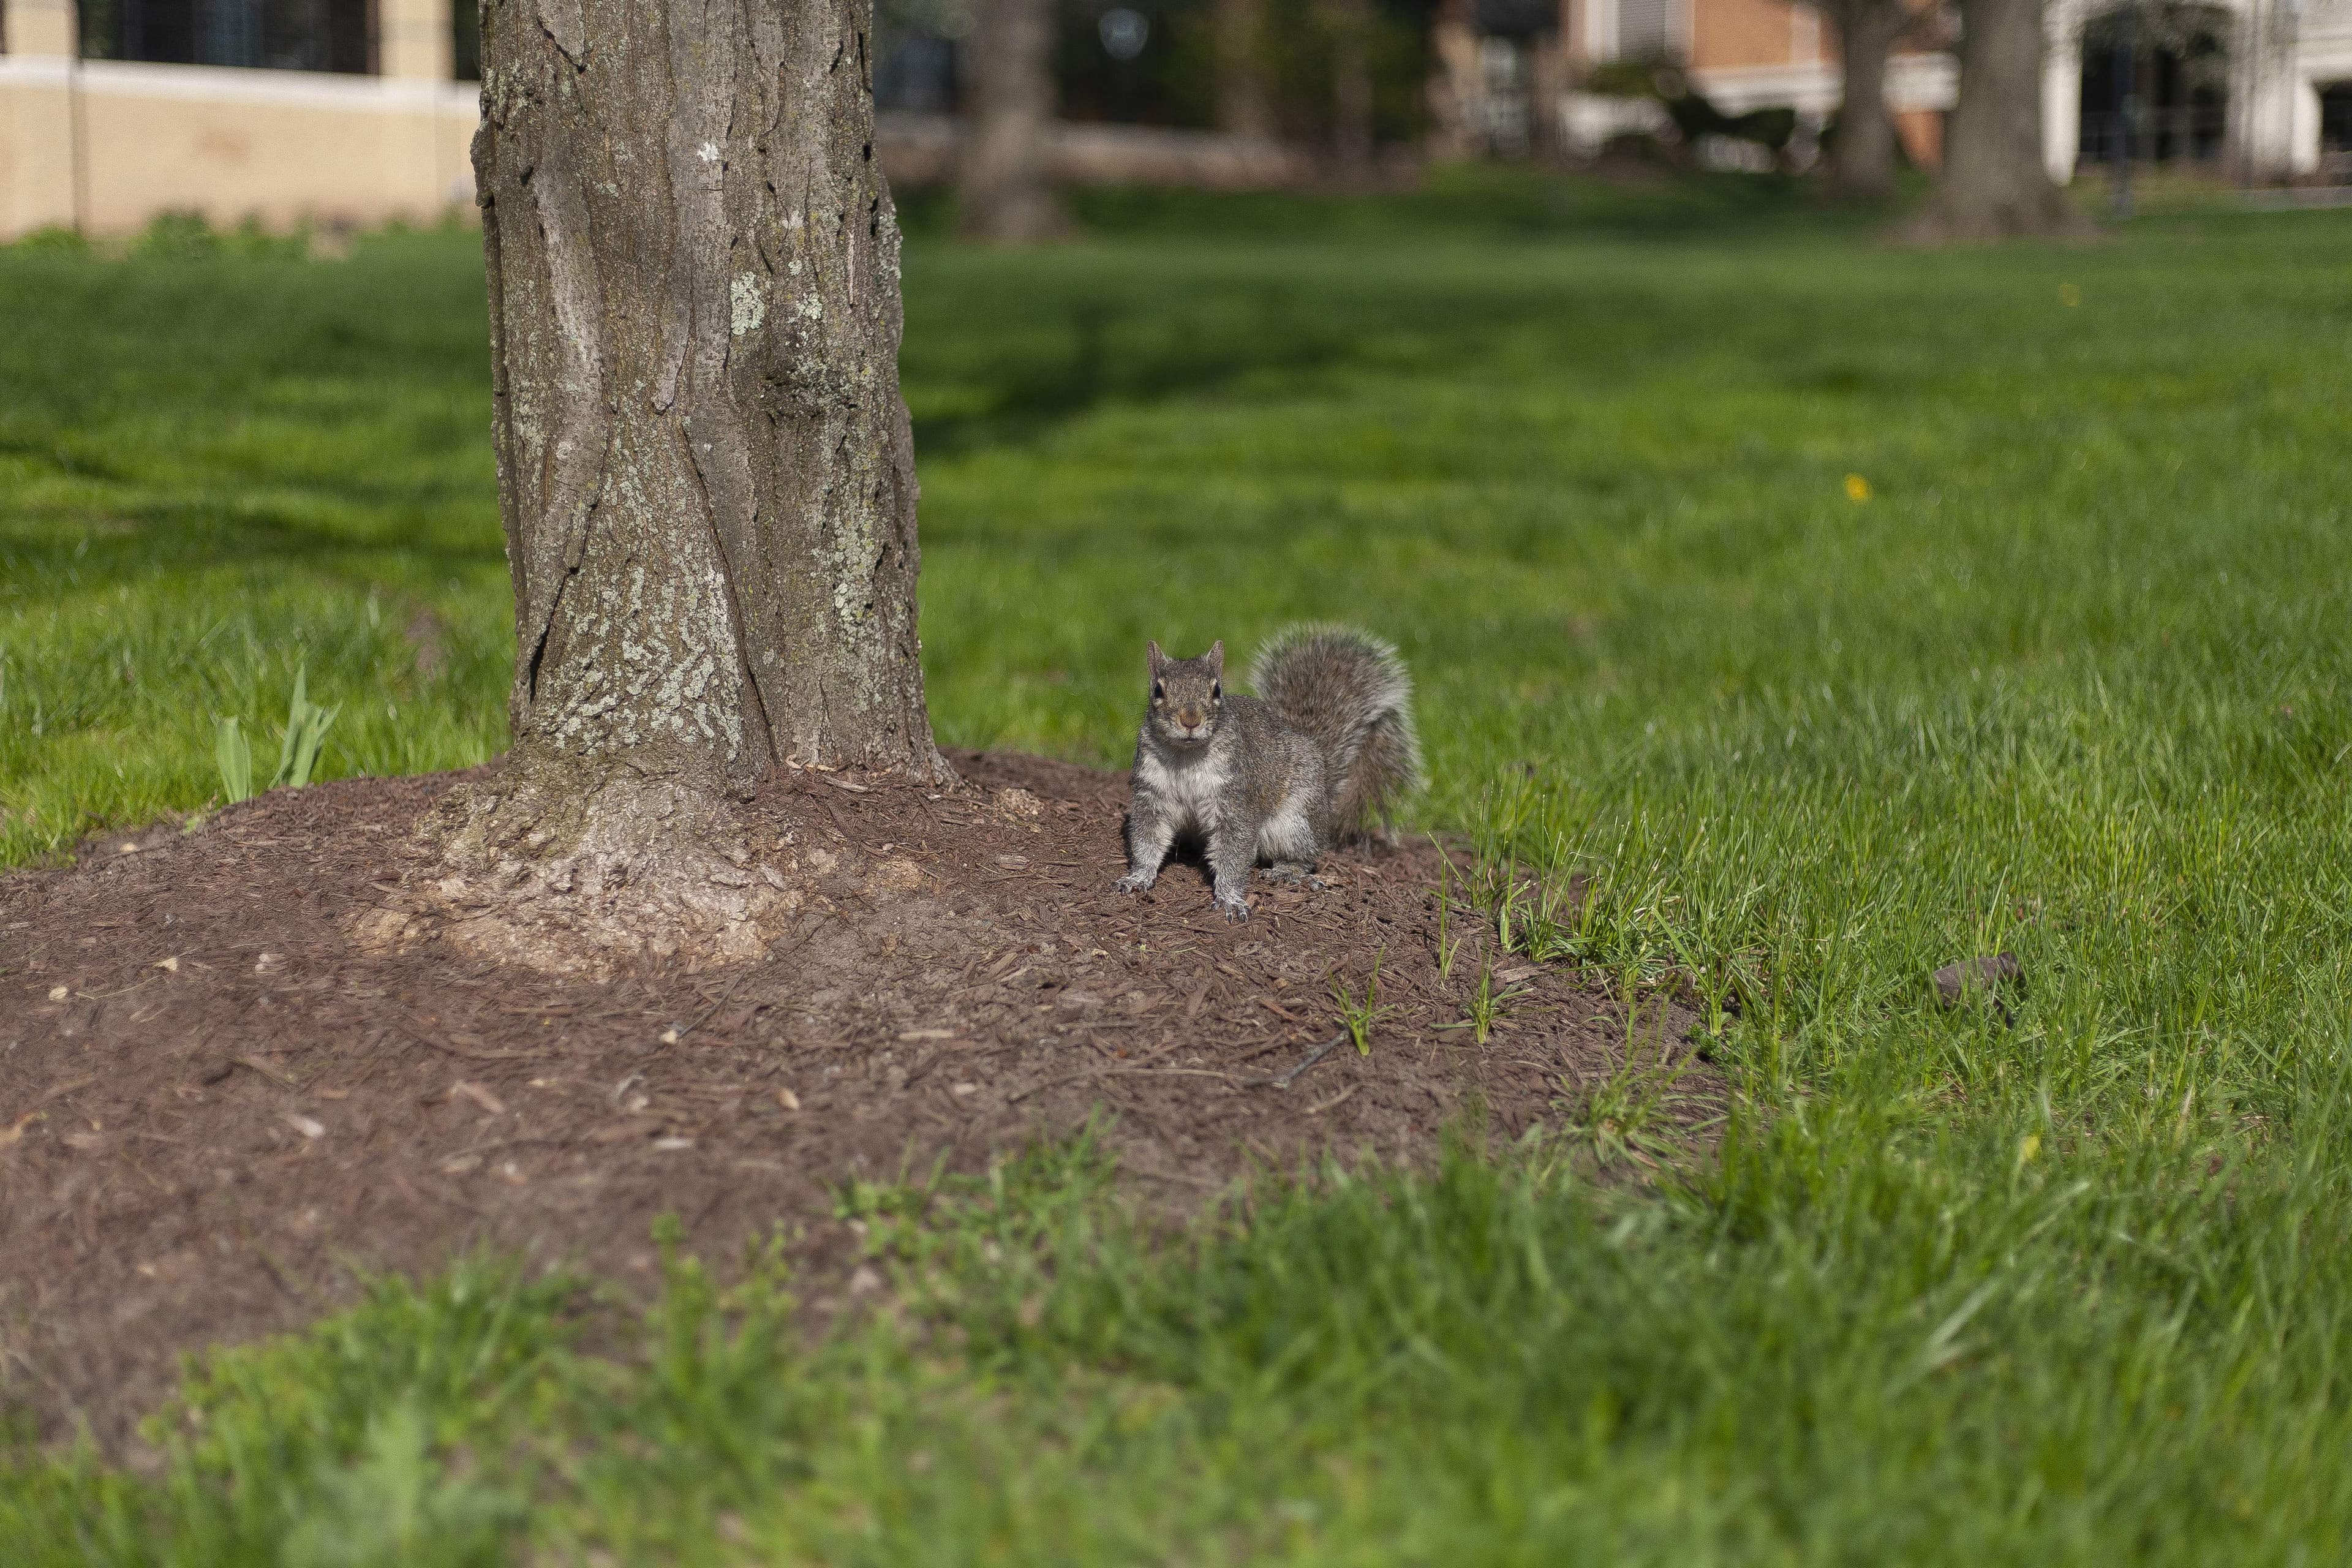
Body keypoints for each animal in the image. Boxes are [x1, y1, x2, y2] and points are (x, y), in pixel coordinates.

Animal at [1113, 624, 1420, 922]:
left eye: (1216, 691)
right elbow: (1147, 840)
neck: (1185, 756)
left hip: (1297, 821)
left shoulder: (1235, 799)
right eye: (1158, 691)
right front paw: (1137, 878)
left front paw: (1230, 899)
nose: (1191, 720)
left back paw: (1287, 872)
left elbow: (1234, 854)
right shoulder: (1151, 796)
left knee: (1305, 856)